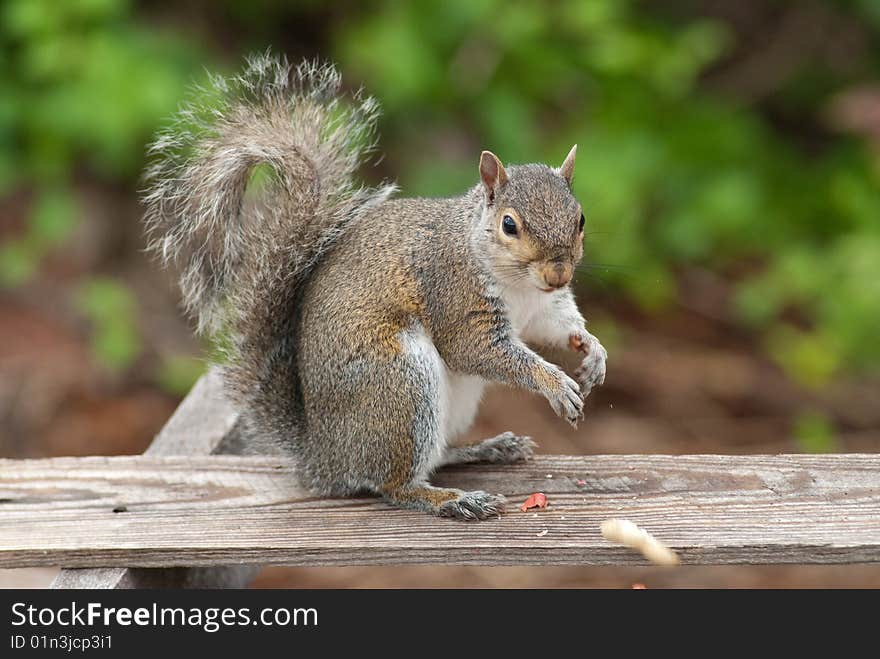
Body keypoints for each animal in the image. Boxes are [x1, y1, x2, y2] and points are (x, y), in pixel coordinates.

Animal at [143, 52, 604, 520]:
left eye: (580, 218)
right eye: (509, 225)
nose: (558, 274)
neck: (519, 285)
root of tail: (324, 458)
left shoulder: (544, 307)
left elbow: (557, 325)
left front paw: (592, 352)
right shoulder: (452, 289)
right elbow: (474, 349)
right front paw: (554, 383)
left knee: (436, 454)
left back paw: (487, 449)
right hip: (400, 384)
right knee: (393, 482)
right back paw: (450, 499)